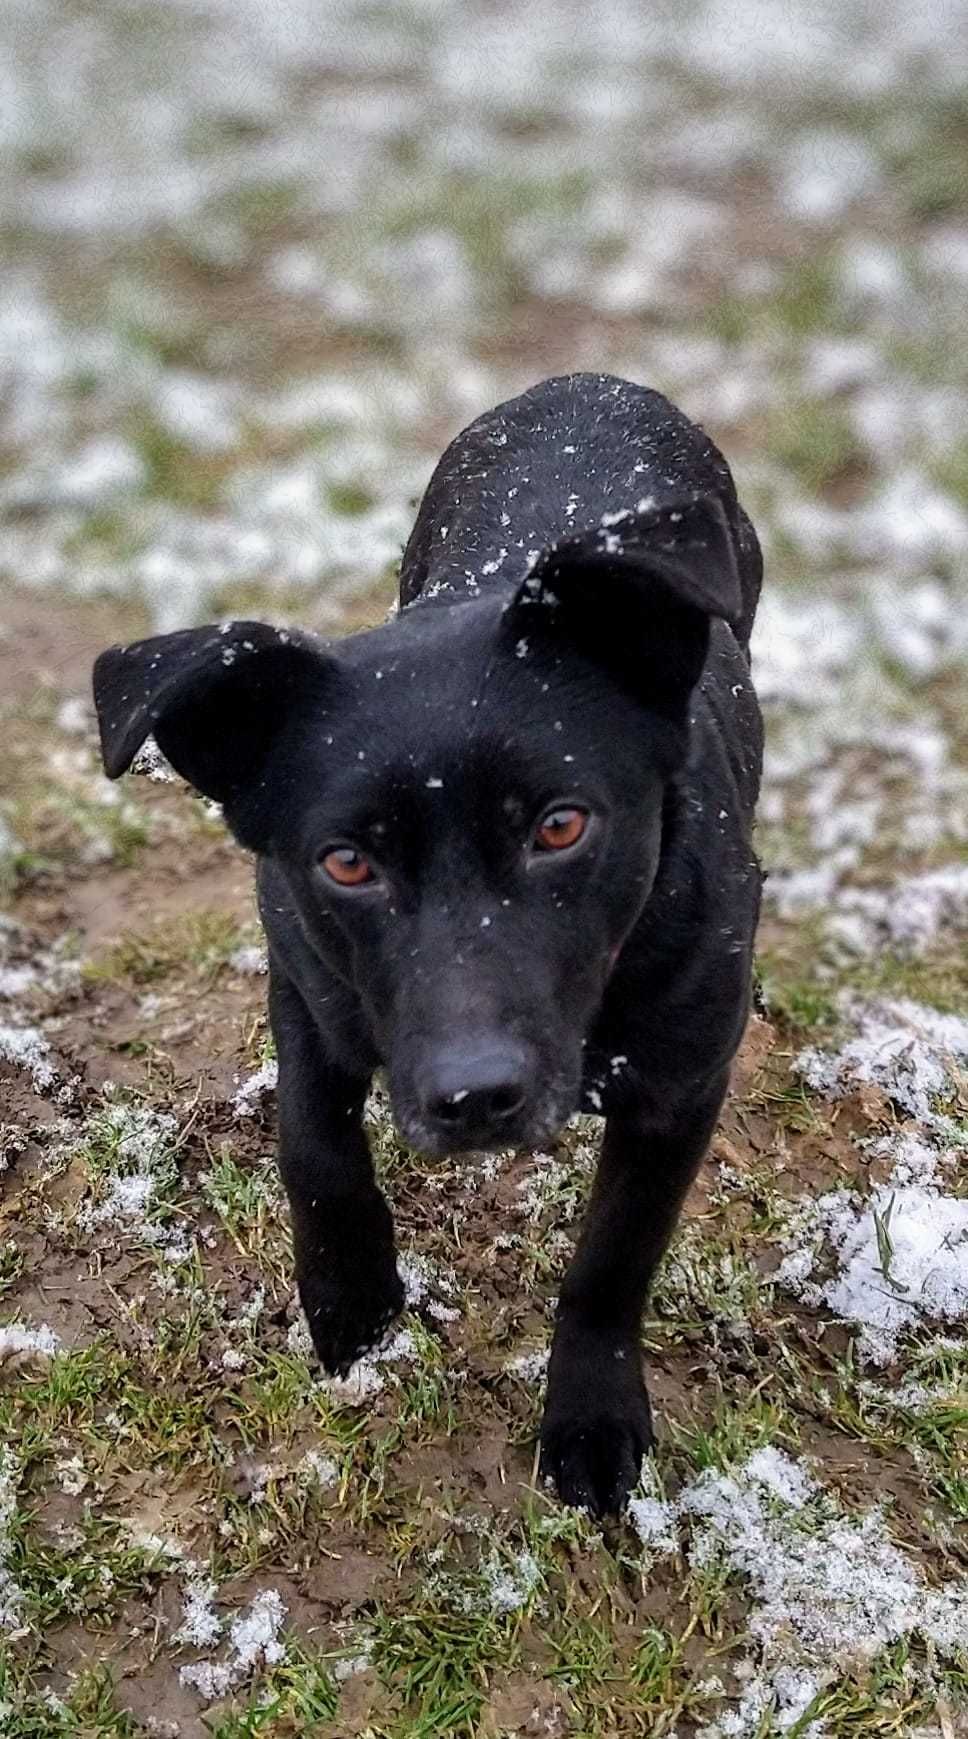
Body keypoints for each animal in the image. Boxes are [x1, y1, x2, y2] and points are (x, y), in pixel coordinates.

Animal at [92, 373, 761, 1516]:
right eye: (347, 862)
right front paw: (351, 1295)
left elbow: (613, 1257)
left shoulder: (679, 1084)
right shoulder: (305, 976)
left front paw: (590, 1413)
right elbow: (314, 1142)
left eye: (560, 826)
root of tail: (587, 383)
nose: (475, 1094)